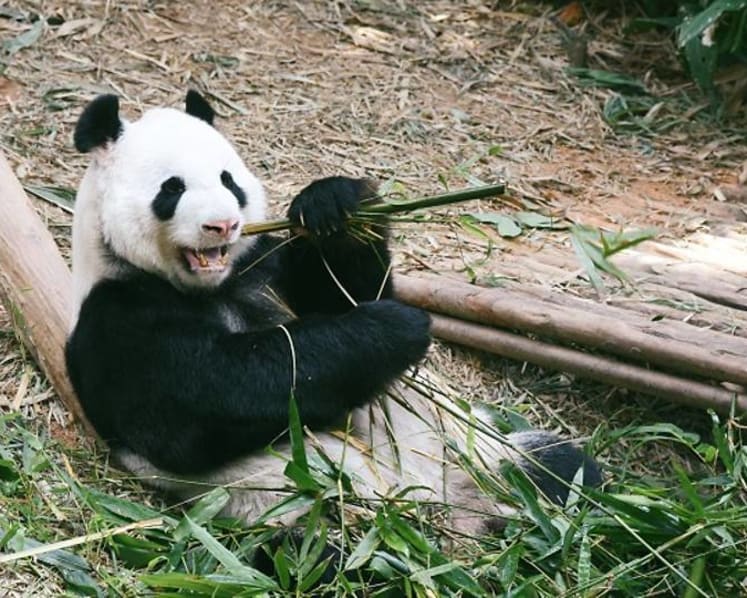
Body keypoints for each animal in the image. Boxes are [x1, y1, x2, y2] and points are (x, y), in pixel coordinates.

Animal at [65, 90, 601, 567]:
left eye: (228, 180)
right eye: (171, 189)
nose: (223, 225)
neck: (212, 287)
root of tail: (458, 518)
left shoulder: (263, 265)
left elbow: (348, 290)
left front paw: (334, 207)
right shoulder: (118, 322)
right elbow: (209, 397)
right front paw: (394, 327)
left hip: (486, 453)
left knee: (565, 471)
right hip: (306, 516)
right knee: (329, 559)